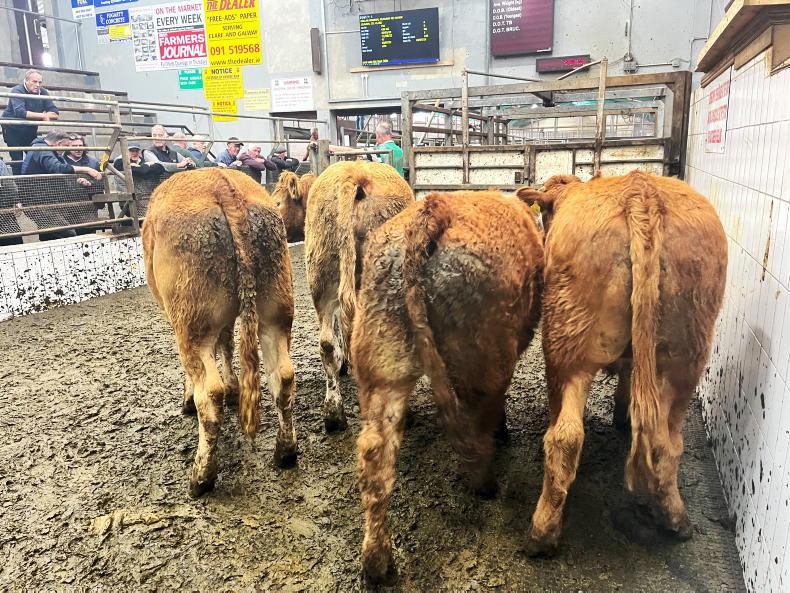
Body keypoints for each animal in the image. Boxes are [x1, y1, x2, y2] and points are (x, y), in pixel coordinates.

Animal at [142, 168, 298, 498]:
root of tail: (223, 187)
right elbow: (226, 342)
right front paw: (234, 386)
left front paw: (190, 397)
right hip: (275, 311)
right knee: (283, 376)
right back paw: (285, 451)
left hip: (192, 326)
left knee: (210, 396)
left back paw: (201, 477)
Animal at [353, 190, 544, 582]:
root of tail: (433, 211)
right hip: (484, 363)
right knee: (479, 422)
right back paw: (485, 481)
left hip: (383, 365)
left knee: (375, 455)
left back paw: (377, 563)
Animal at [516, 171, 727, 555]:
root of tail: (640, 192)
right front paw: (622, 415)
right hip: (687, 357)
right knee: (665, 442)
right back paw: (675, 518)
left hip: (566, 347)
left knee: (565, 436)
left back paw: (542, 533)